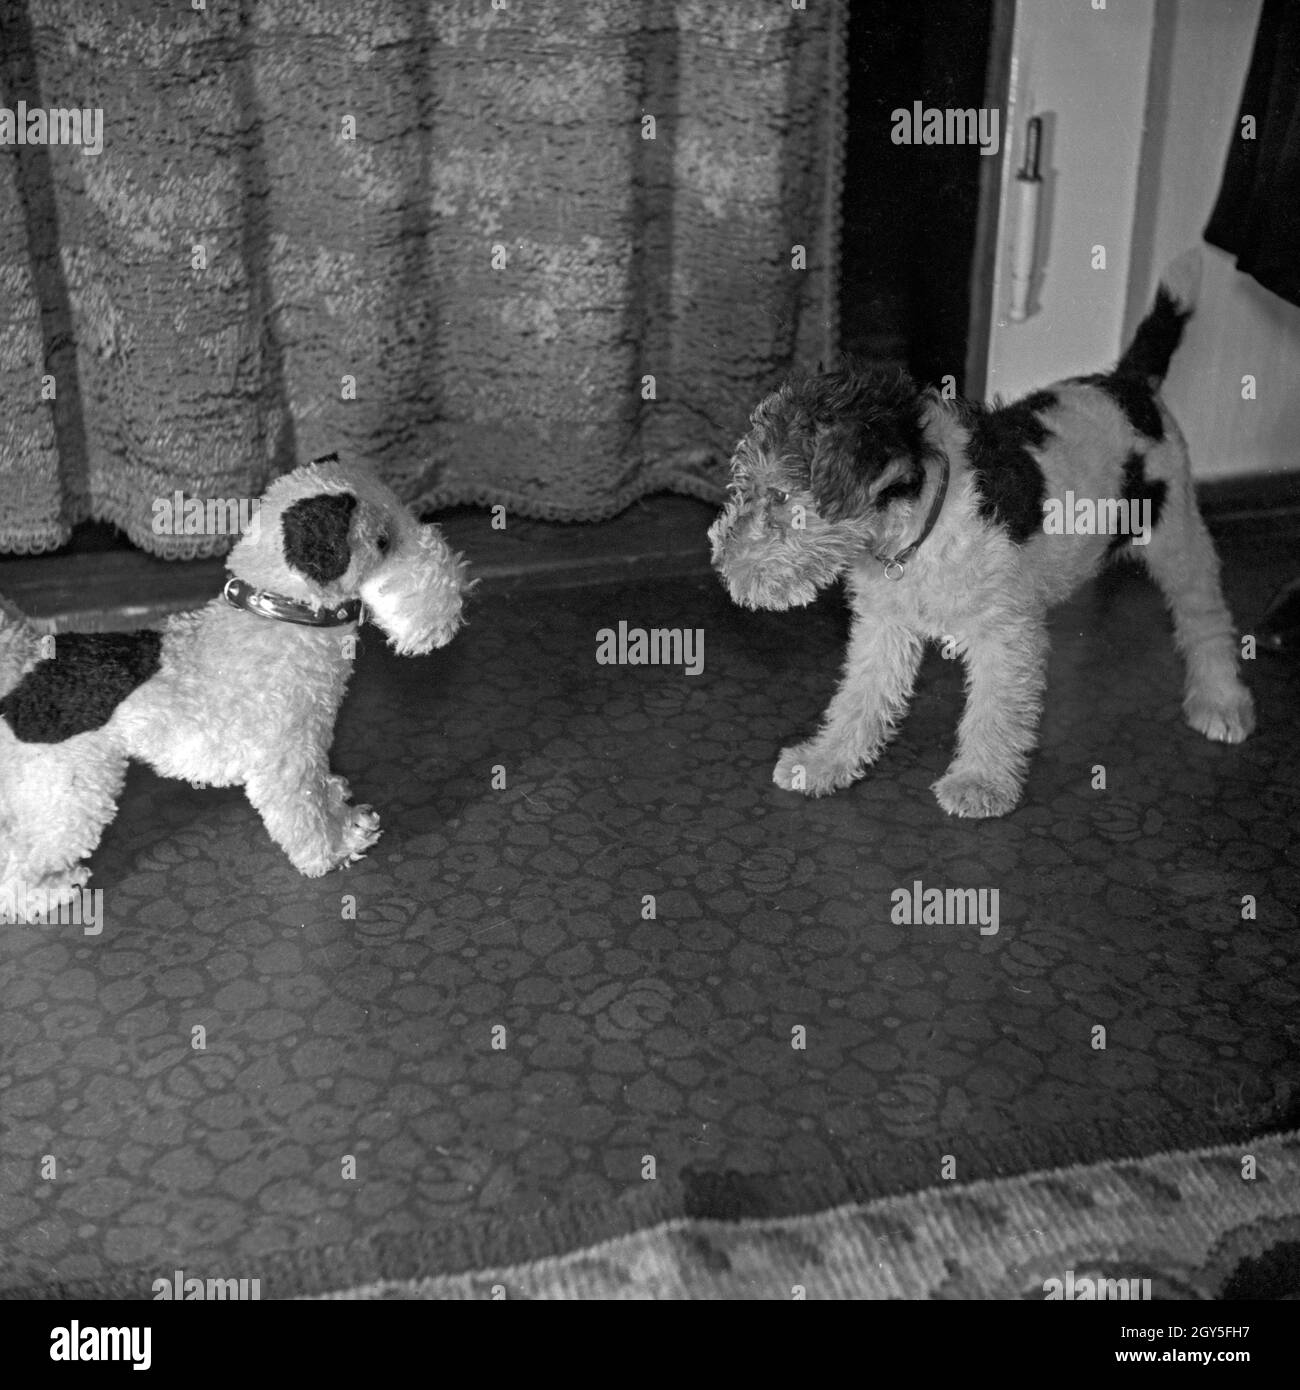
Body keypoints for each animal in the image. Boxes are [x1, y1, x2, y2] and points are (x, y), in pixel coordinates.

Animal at [0, 450, 467, 917]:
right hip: (71, 791)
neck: (283, 615)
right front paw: (335, 847)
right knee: (19, 868)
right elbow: (304, 817)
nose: (456, 601)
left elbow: (319, 794)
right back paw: (51, 891)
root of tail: (24, 657)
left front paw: (341, 809)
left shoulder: (311, 746)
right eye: (383, 541)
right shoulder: (286, 759)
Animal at [717, 252, 1256, 811]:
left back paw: (1221, 702)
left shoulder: (1006, 634)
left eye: (781, 497)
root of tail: (1130, 385)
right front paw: (824, 762)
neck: (921, 524)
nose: (723, 564)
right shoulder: (884, 624)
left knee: (1208, 620)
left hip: (1179, 537)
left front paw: (980, 783)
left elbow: (994, 714)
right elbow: (858, 698)